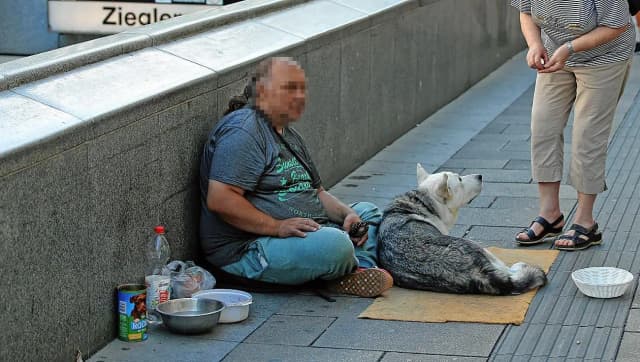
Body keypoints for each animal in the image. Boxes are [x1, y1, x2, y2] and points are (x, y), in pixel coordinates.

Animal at [378, 164, 548, 294]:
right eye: (459, 179)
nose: (480, 176)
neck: (424, 202)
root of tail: (478, 273)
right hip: (479, 247)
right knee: (509, 271)